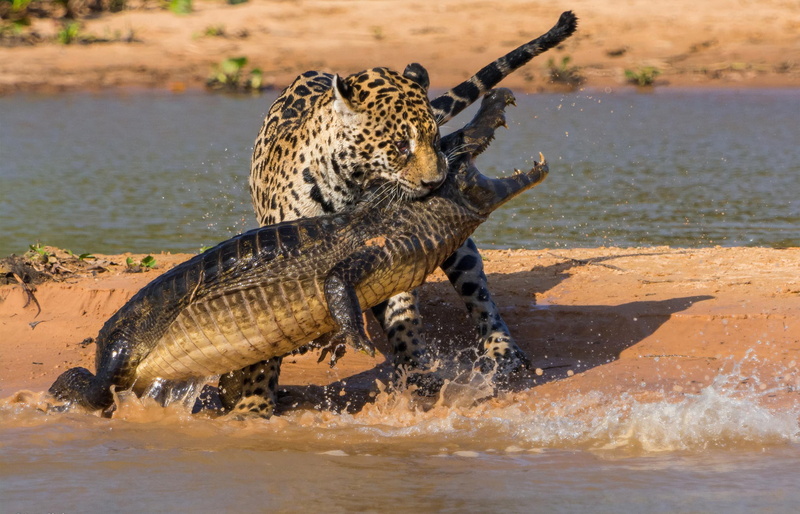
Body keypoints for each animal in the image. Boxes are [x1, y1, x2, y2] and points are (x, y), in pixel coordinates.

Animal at [218, 11, 578, 418]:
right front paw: (254, 404)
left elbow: (402, 313)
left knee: (480, 296)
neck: (351, 188)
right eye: (400, 145)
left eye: (435, 139)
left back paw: (502, 350)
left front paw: (417, 373)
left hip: (461, 252)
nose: (436, 182)